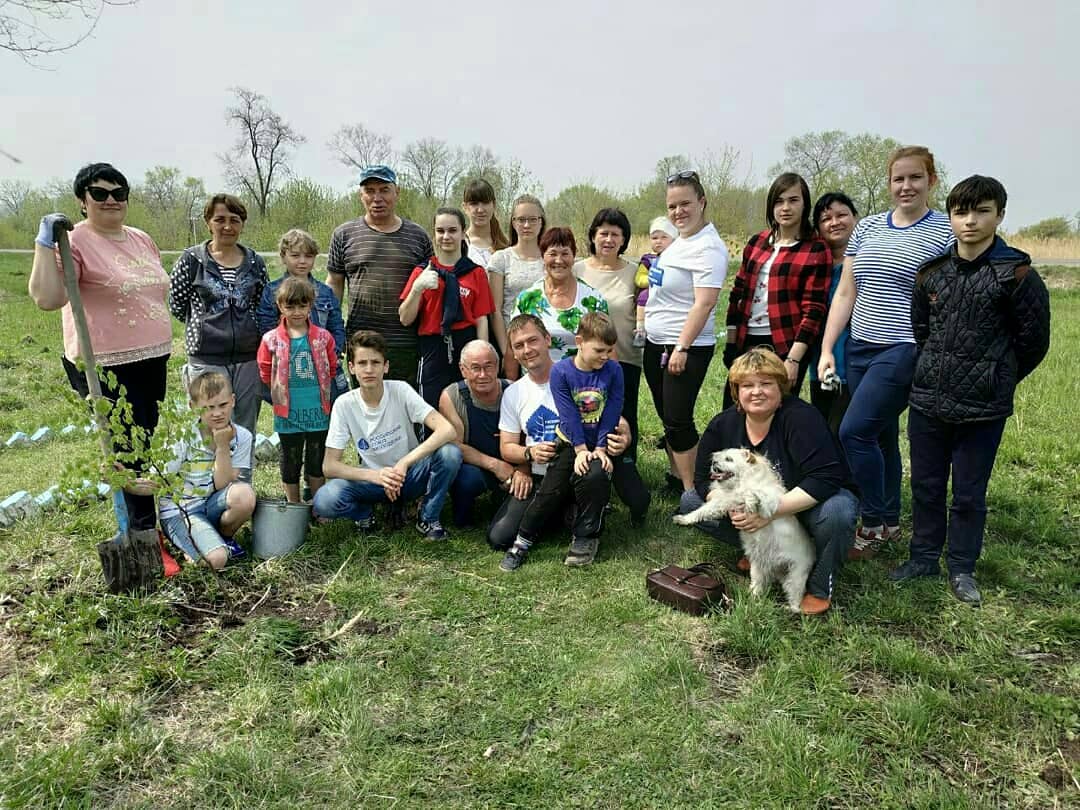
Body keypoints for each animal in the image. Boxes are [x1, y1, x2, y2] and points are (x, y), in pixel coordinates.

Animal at [669, 447, 812, 613]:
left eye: (729, 459)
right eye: (718, 457)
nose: (714, 462)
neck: (739, 483)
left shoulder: (768, 506)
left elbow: (754, 493)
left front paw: (750, 501)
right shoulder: (722, 502)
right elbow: (700, 512)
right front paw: (683, 519)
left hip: (795, 577)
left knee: (796, 604)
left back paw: (787, 609)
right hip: (758, 569)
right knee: (758, 586)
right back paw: (752, 598)